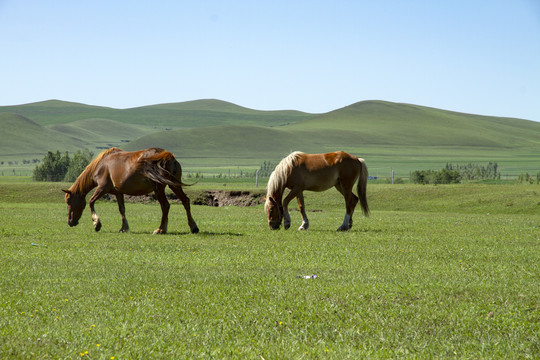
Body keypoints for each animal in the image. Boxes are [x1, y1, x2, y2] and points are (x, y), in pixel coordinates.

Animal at [62, 148, 198, 235]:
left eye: (68, 200)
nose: (69, 222)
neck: (102, 165)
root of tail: (167, 155)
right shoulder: (118, 193)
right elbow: (122, 209)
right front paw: (124, 228)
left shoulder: (102, 188)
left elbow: (91, 202)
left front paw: (96, 223)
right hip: (174, 185)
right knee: (185, 201)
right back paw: (193, 227)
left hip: (159, 188)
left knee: (165, 206)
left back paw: (160, 230)